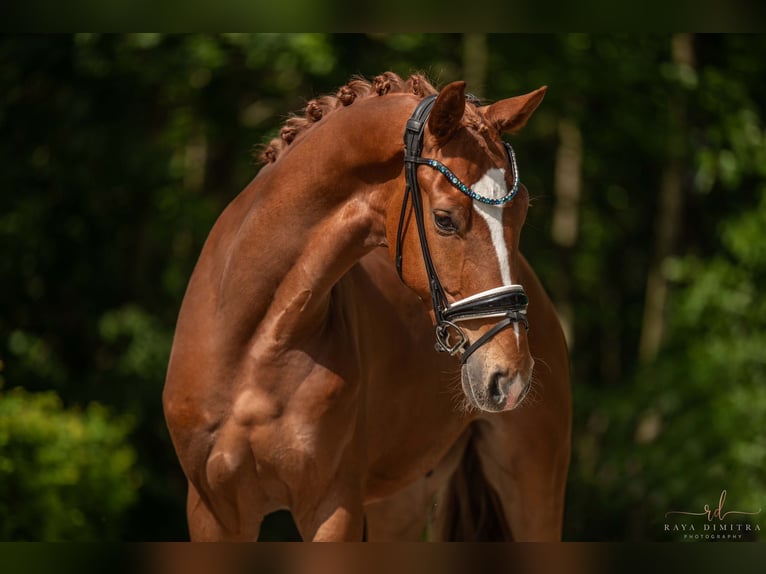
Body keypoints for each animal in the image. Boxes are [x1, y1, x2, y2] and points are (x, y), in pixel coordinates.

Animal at [162, 70, 572, 544]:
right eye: (445, 219)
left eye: (521, 211)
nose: (510, 376)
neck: (255, 340)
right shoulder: (212, 512)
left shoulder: (333, 505)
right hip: (401, 503)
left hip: (533, 493)